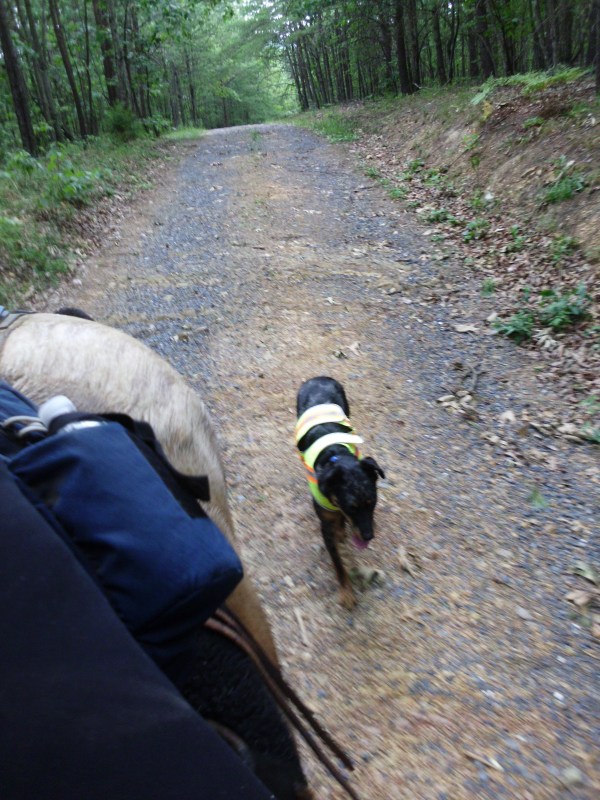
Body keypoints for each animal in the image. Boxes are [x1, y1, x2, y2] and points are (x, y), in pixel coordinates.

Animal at [295, 376, 384, 609]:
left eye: (373, 502)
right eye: (351, 506)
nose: (369, 536)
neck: (336, 456)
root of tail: (319, 377)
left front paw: (344, 530)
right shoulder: (325, 525)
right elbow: (338, 563)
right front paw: (346, 593)